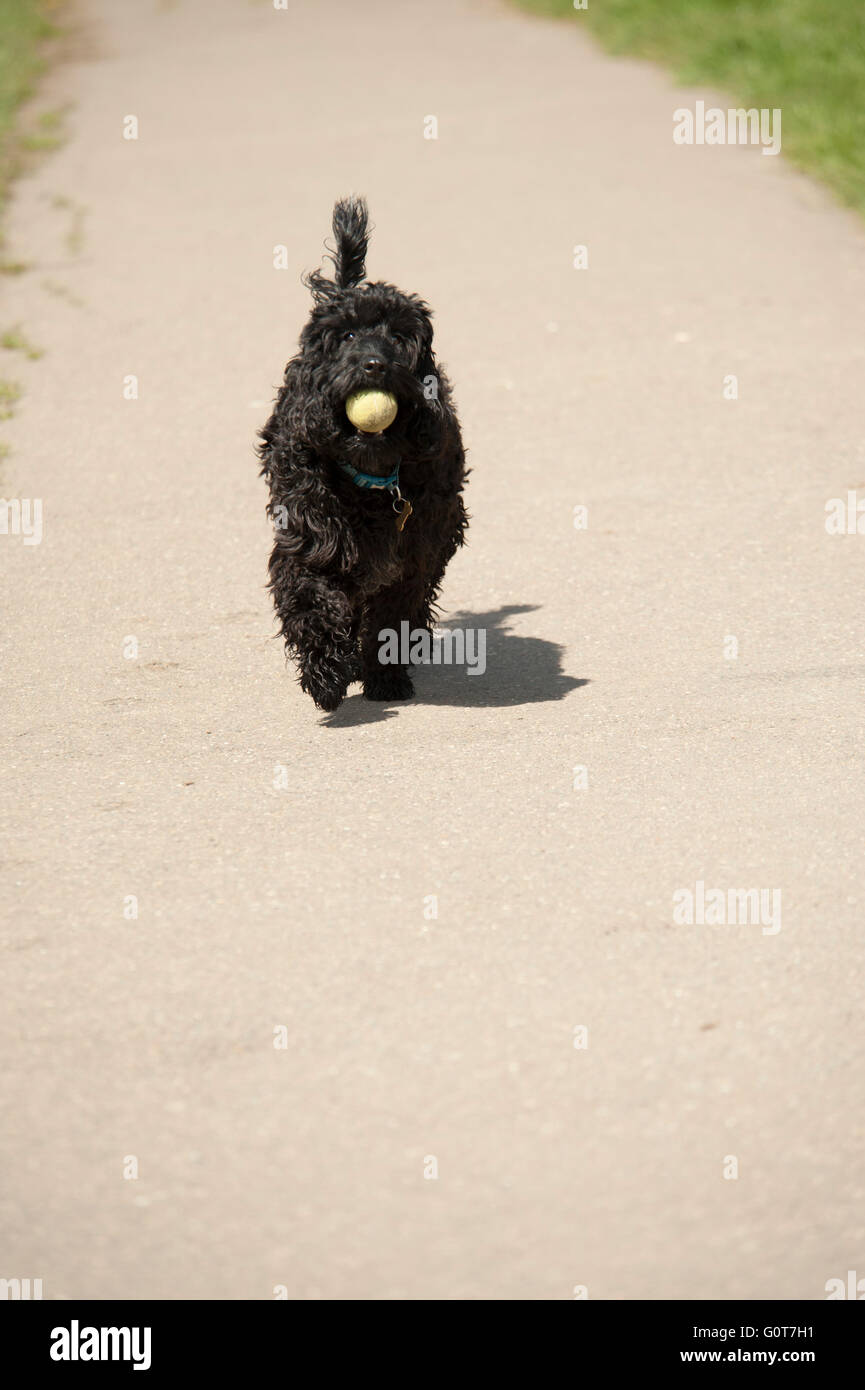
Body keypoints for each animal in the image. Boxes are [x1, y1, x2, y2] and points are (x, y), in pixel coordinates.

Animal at [258, 195, 467, 711]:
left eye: (398, 336)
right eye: (348, 336)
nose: (374, 365)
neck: (371, 477)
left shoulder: (414, 553)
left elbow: (394, 615)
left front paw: (385, 676)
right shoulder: (310, 538)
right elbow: (312, 600)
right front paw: (326, 675)